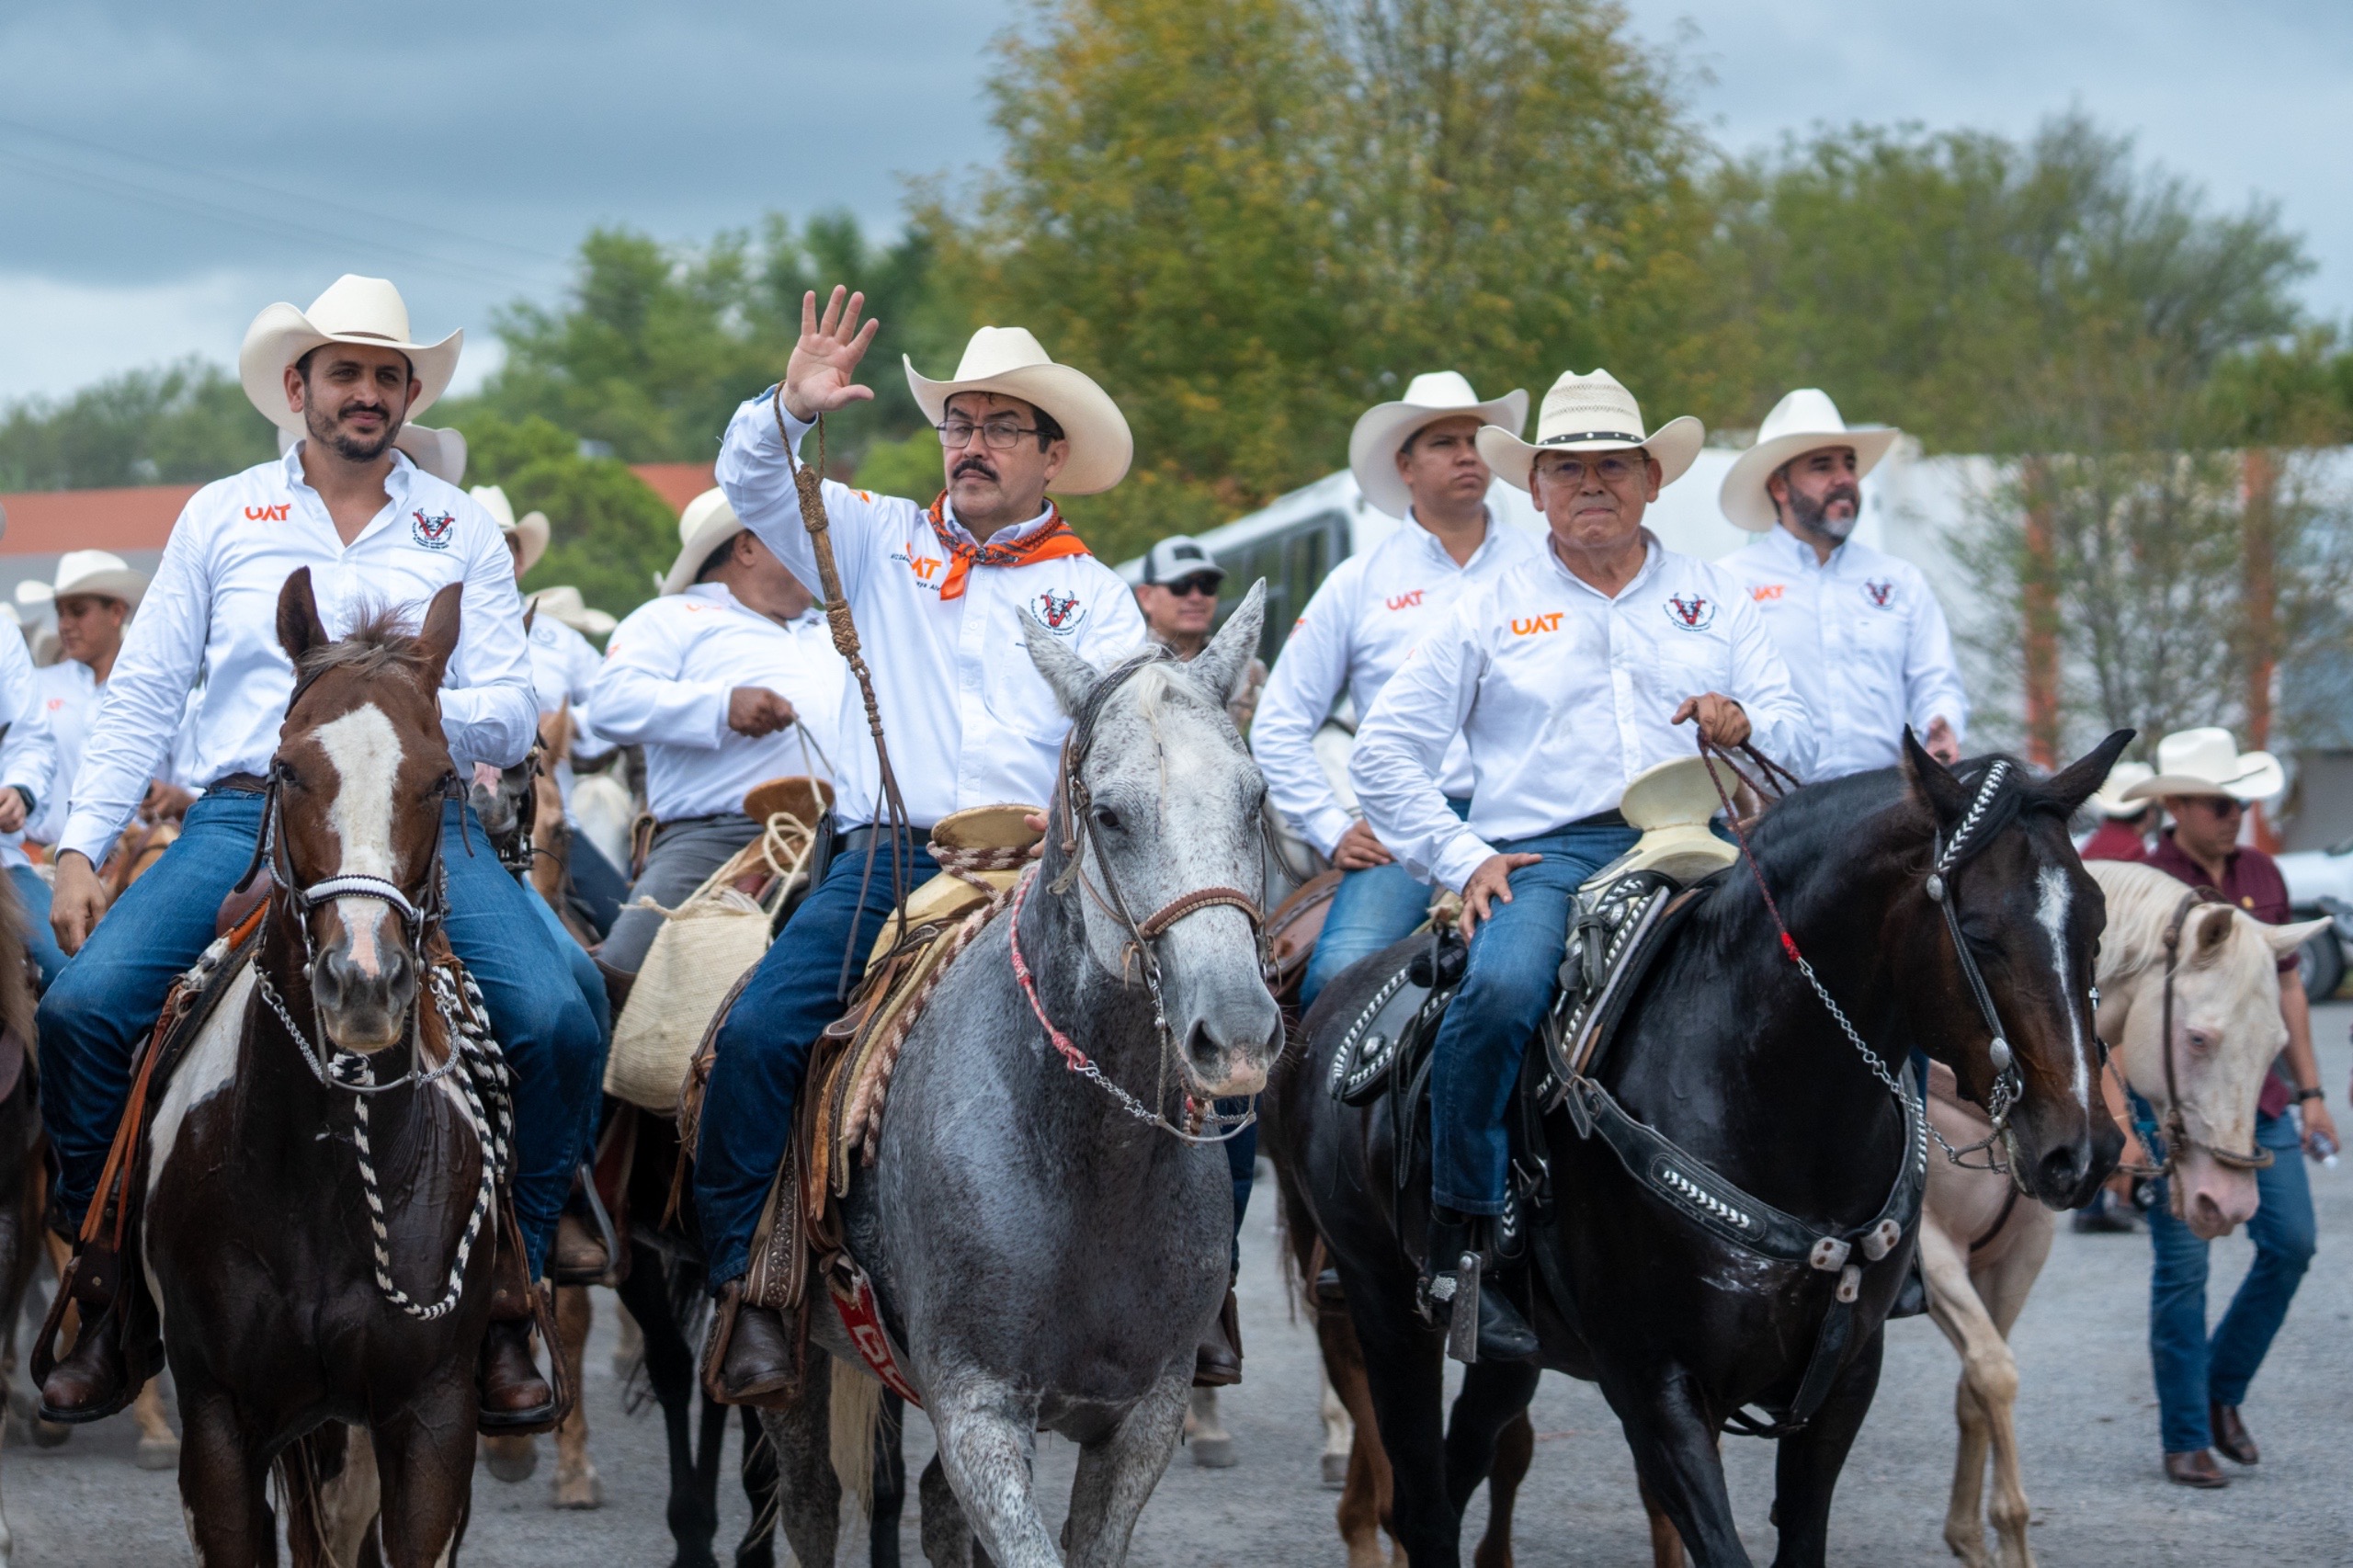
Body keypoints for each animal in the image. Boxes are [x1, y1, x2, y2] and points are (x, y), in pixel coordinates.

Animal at [140, 567, 522, 1553]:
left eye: (439, 778)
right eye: (286, 770)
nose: (362, 981)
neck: (326, 1172)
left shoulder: (431, 1423)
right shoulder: (220, 1423)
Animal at [757, 585, 1289, 1562]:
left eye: (1255, 799)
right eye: (1110, 814)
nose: (1236, 1034)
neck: (1090, 1161)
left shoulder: (1142, 1420)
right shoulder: (978, 1410)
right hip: (792, 1371)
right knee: (810, 1501)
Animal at [1270, 734, 2136, 1562]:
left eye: (2095, 926)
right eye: (1981, 936)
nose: (2083, 1150)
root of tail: (1334, 999)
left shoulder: (1843, 1381)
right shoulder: (1658, 1391)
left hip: (1507, 1356)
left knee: (1457, 1477)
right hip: (1384, 1307)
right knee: (1419, 1507)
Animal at [1919, 857, 2325, 1562]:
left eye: (2278, 1043)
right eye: (2197, 1038)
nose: (2231, 1201)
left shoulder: (2017, 1253)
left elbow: (1977, 1386)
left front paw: (1970, 1536)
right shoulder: (1925, 1244)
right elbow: (1994, 1374)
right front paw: (2007, 1528)